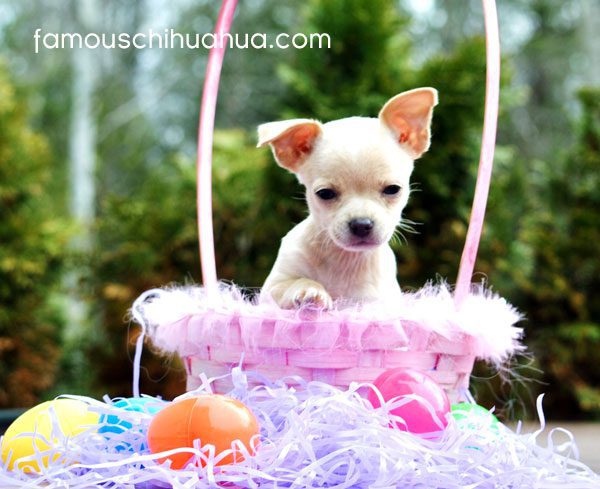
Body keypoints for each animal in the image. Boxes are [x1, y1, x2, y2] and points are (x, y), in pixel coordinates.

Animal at [256, 88, 436, 308]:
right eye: (325, 194)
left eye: (393, 189)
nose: (361, 224)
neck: (345, 259)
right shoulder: (272, 288)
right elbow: (295, 282)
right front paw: (310, 290)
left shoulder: (377, 299)